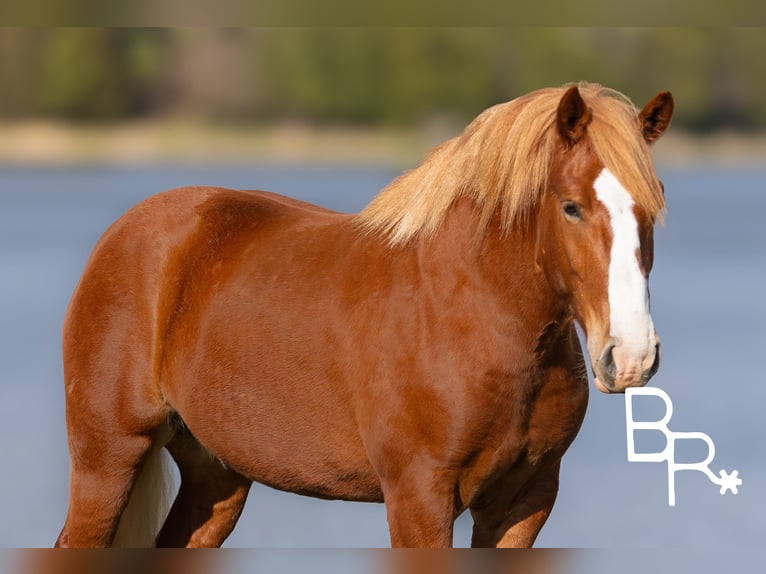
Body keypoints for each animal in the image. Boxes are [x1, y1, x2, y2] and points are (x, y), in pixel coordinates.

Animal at [55, 82, 673, 548]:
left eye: (655, 203)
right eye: (571, 206)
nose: (631, 356)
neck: (473, 317)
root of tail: (129, 231)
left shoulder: (525, 501)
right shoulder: (419, 496)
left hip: (216, 475)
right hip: (108, 458)